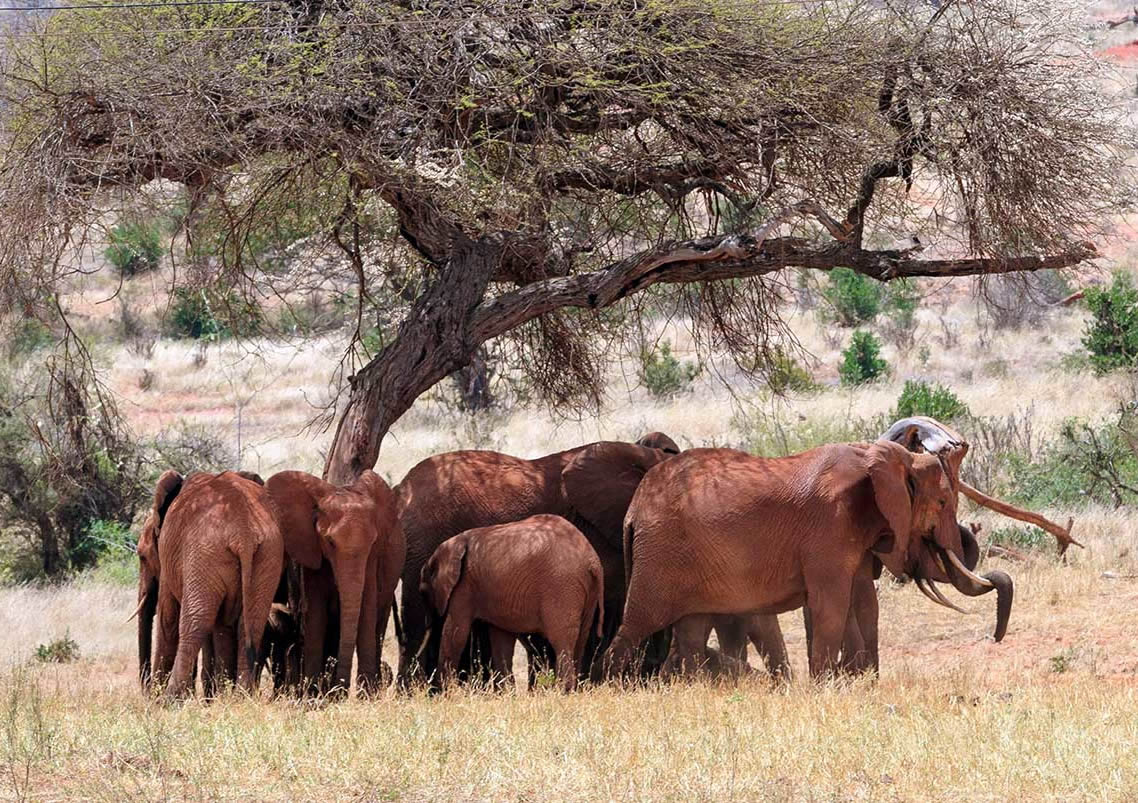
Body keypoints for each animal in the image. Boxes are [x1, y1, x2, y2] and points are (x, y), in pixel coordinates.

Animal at [134, 468, 283, 696]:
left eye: (141, 556)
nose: (148, 692)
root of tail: (245, 532)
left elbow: (168, 618)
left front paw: (157, 699)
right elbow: (223, 626)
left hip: (204, 552)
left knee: (195, 622)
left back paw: (171, 698)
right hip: (267, 555)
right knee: (251, 624)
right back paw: (241, 697)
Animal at [265, 468, 405, 696]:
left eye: (373, 542)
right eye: (330, 542)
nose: (342, 688)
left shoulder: (372, 558)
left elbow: (367, 607)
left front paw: (365, 697)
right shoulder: (311, 552)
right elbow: (315, 612)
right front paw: (314, 695)